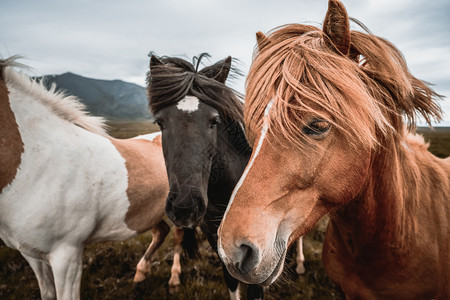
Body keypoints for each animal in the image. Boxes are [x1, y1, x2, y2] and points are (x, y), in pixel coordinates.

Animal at [0, 57, 196, 298]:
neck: (39, 162)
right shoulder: (32, 254)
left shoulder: (66, 255)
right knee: (161, 232)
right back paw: (140, 274)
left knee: (177, 235)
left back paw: (174, 279)